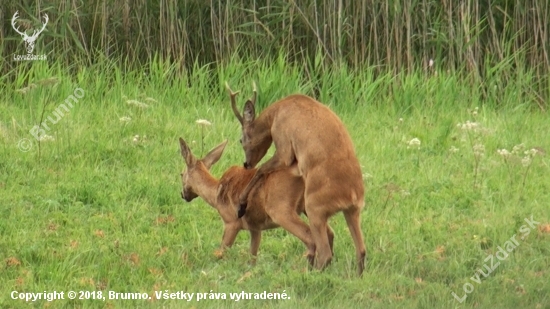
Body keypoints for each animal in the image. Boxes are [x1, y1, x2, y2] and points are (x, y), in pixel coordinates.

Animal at [179, 137, 334, 264]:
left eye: (181, 174)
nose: (183, 194)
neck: (216, 193)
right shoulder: (255, 227)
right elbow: (252, 256)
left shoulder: (231, 222)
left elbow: (221, 252)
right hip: (307, 206)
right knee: (329, 234)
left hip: (281, 209)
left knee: (311, 238)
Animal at [226, 82, 368, 274]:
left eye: (241, 140)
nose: (246, 163)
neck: (276, 113)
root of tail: (352, 195)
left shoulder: (284, 144)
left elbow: (261, 170)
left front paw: (241, 206)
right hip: (353, 211)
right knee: (361, 250)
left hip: (315, 207)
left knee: (324, 251)